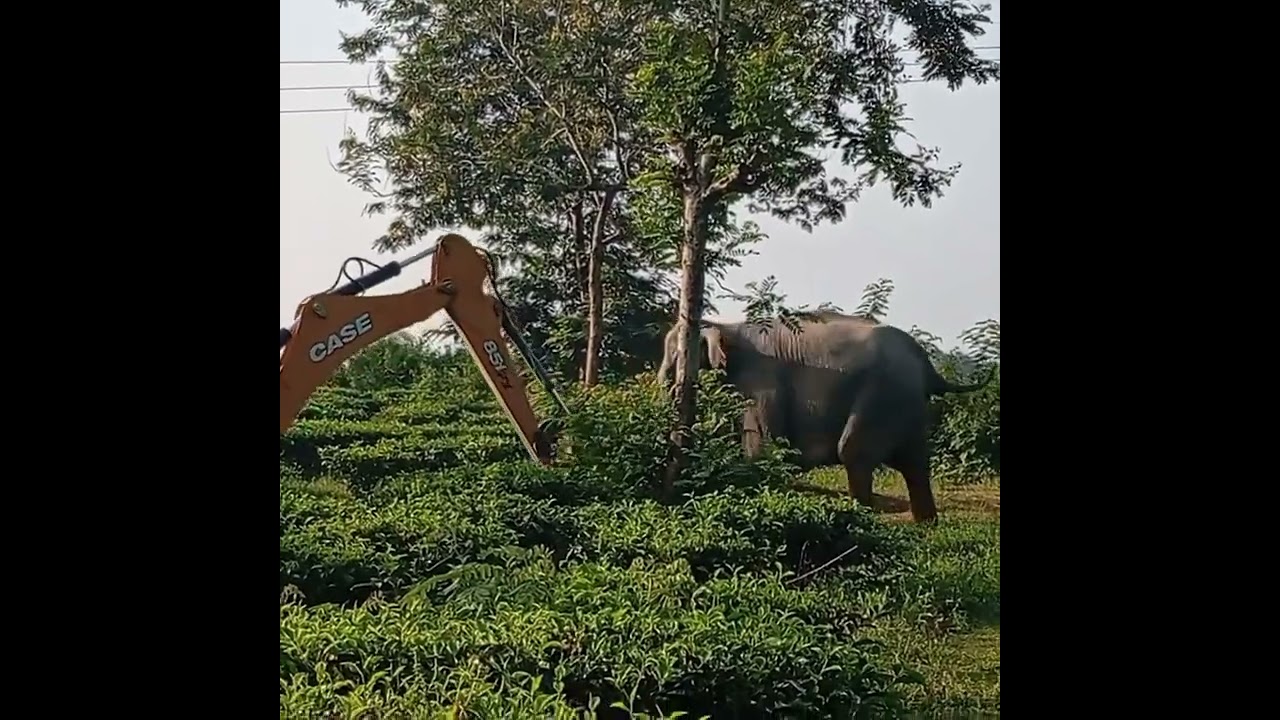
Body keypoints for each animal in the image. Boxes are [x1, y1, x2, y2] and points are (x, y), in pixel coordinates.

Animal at [656, 312, 994, 522]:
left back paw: (862, 518)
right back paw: (926, 523)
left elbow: (763, 446)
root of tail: (927, 365)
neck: (726, 325)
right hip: (905, 403)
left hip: (884, 395)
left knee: (854, 452)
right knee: (915, 462)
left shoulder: (763, 384)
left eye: (675, 358)